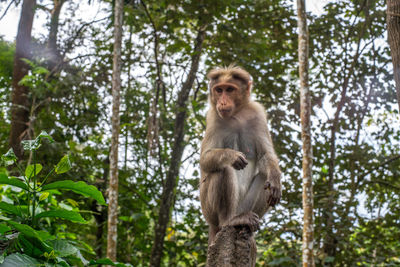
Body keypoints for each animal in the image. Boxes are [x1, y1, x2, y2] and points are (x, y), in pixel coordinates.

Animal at [199, 65, 282, 247]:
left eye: (229, 89)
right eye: (219, 90)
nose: (222, 102)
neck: (237, 114)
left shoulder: (258, 115)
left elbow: (266, 155)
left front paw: (275, 178)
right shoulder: (213, 117)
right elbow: (205, 160)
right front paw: (231, 155)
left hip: (244, 206)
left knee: (264, 176)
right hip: (208, 210)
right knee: (223, 169)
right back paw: (229, 220)